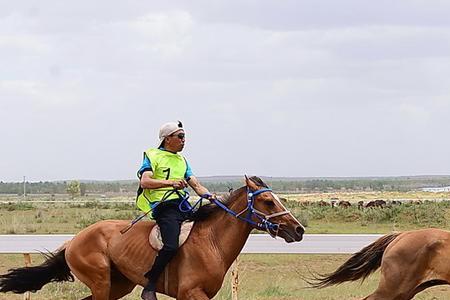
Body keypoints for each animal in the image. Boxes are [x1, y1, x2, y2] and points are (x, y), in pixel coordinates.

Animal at [0, 177, 306, 298]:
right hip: (101, 283)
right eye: (268, 201)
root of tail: (73, 240)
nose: (299, 230)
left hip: (118, 285)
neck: (212, 243)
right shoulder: (191, 294)